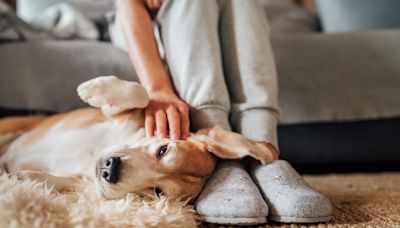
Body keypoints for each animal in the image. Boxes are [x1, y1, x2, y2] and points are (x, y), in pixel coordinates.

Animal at [0, 76, 278, 200]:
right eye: (163, 149)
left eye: (157, 191)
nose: (110, 170)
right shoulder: (117, 115)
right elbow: (141, 94)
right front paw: (93, 89)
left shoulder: (84, 181)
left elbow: (60, 181)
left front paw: (22, 179)